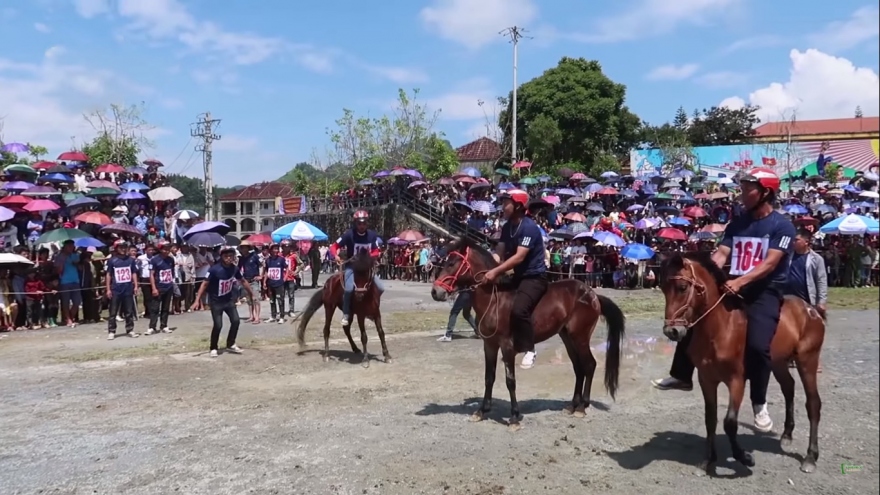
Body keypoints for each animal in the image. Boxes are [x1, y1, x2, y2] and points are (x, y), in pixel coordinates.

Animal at [428, 238, 624, 428]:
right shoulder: (489, 345)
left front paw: (514, 416)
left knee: (589, 365)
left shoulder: (507, 347)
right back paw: (573, 405)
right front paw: (482, 411)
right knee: (579, 367)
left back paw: (582, 407)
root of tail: (592, 294)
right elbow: (489, 378)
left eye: (452, 263)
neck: (495, 299)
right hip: (568, 338)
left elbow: (510, 381)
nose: (435, 292)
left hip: (580, 338)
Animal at [660, 254, 824, 474]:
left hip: (807, 361)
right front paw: (707, 460)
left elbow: (730, 422)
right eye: (663, 287)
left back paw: (810, 457)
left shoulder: (736, 381)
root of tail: (810, 309)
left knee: (813, 403)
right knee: (789, 388)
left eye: (682, 287)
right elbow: (710, 418)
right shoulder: (707, 379)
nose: (672, 331)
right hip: (778, 363)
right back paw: (787, 435)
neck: (721, 328)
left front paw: (745, 458)